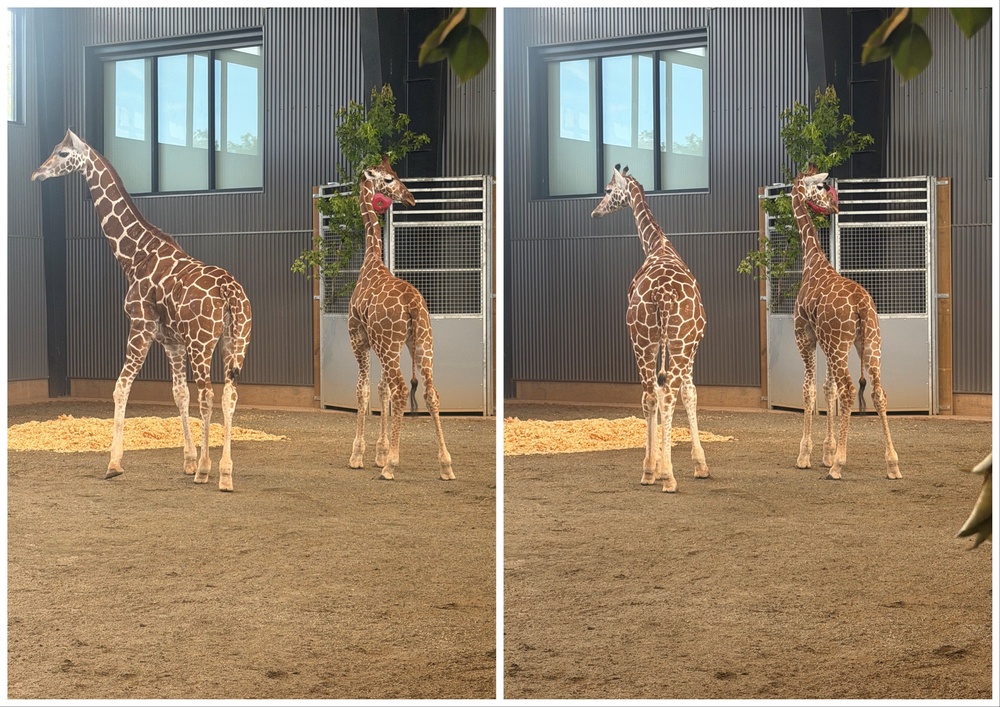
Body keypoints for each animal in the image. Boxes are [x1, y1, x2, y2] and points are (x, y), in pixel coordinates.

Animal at [31, 129, 252, 492]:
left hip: (203, 343)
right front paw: (188, 461)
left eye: (62, 153)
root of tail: (230, 292)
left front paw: (114, 464)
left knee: (209, 394)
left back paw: (208, 470)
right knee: (228, 395)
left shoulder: (141, 326)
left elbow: (121, 387)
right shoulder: (171, 341)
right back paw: (224, 473)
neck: (135, 256)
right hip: (235, 342)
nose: (37, 174)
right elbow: (179, 394)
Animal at [347, 156, 454, 481]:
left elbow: (364, 390)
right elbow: (380, 390)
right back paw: (446, 465)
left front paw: (360, 455)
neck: (371, 261)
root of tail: (412, 306)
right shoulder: (378, 344)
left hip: (391, 344)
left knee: (402, 389)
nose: (411, 197)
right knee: (430, 392)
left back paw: (392, 466)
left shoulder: (359, 338)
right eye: (389, 179)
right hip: (421, 343)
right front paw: (380, 452)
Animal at [591, 164, 708, 493]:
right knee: (664, 394)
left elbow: (679, 392)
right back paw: (665, 475)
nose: (595, 212)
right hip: (671, 341)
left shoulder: (671, 345)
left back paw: (650, 471)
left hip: (644, 340)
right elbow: (689, 393)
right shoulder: (688, 344)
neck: (658, 245)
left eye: (607, 190)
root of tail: (662, 295)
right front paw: (699, 464)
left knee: (651, 394)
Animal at [790, 166, 901, 480]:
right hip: (869, 342)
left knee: (850, 390)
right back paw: (892, 464)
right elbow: (828, 389)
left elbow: (810, 390)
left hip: (841, 345)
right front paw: (826, 451)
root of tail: (861, 305)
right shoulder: (825, 341)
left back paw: (839, 464)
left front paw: (807, 455)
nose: (834, 206)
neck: (813, 260)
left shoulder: (805, 336)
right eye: (821, 187)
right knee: (878, 392)